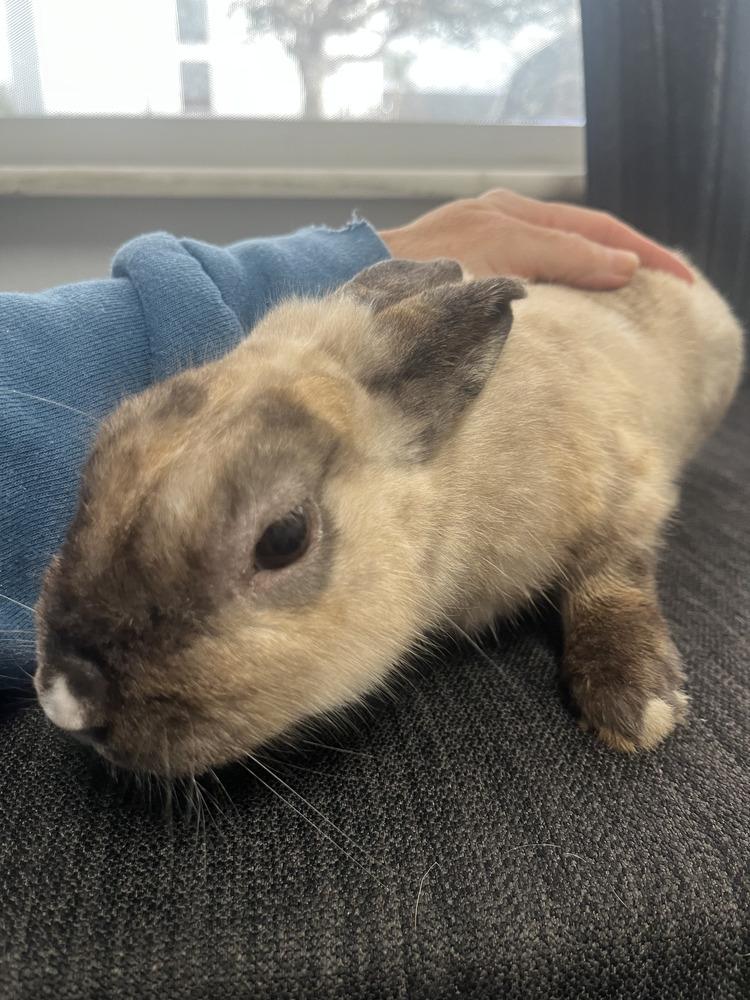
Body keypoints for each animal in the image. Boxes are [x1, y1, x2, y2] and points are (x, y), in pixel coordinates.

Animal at [33, 257, 744, 777]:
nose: (65, 695)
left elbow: (611, 578)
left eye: (284, 538)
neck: (450, 485)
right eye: (100, 457)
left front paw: (636, 707)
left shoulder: (629, 490)